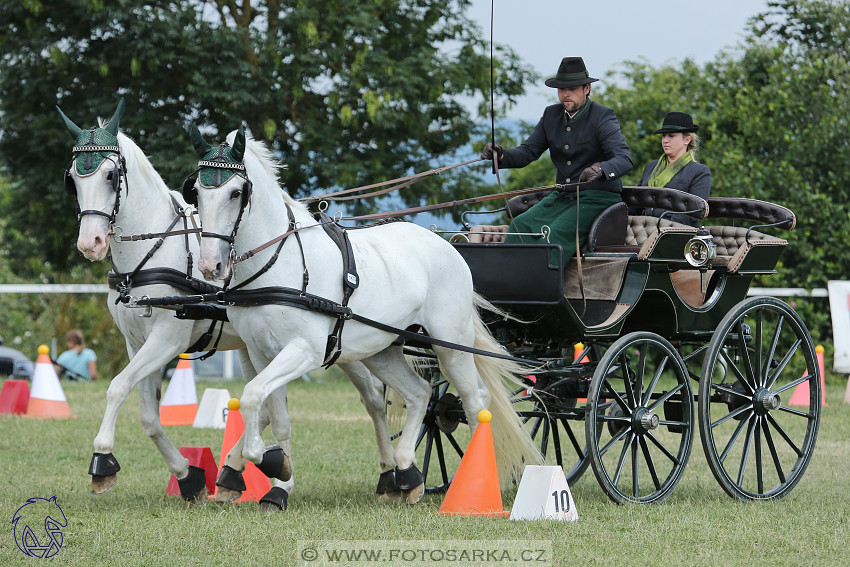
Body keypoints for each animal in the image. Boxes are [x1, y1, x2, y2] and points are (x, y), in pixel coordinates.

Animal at [58, 100, 396, 512]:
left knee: (373, 398)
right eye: (73, 179)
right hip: (261, 347)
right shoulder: (137, 343)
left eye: (110, 175)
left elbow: (117, 387)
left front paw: (102, 461)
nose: (89, 242)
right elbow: (149, 417)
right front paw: (188, 477)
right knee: (266, 405)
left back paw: (390, 475)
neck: (155, 248)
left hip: (343, 345)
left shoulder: (166, 341)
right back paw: (235, 473)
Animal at [186, 125, 540, 502]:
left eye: (236, 192)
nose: (210, 265)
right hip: (382, 350)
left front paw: (269, 466)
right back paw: (406, 475)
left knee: (476, 402)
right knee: (419, 394)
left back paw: (474, 485)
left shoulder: (304, 350)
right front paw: (279, 479)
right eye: (196, 192)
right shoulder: (262, 353)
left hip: (450, 344)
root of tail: (447, 246)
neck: (281, 264)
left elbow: (253, 396)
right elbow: (273, 412)